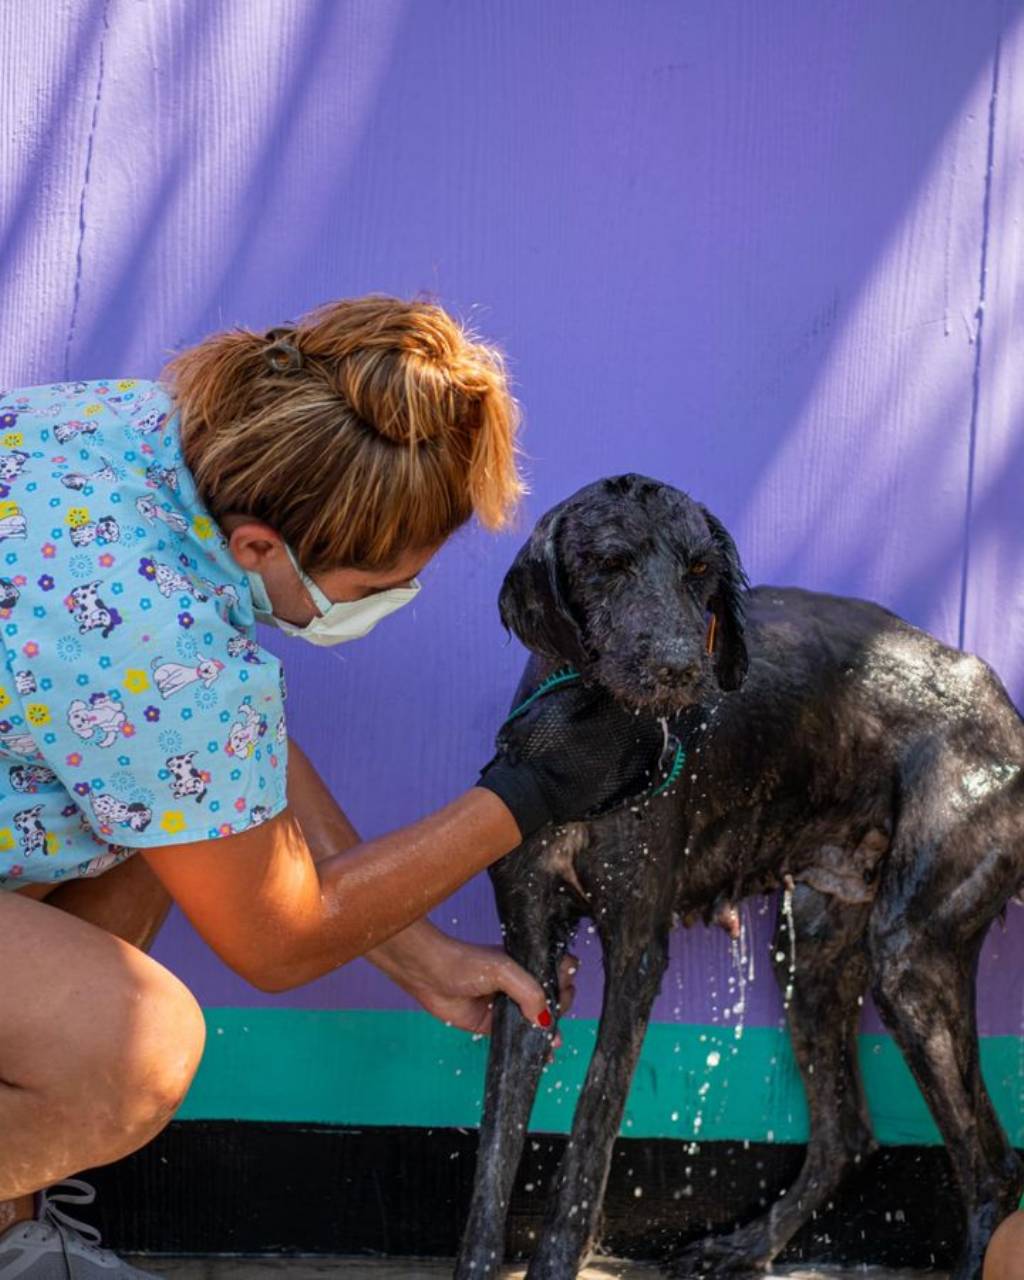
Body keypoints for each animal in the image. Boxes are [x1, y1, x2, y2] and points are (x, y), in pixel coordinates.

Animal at [455, 476, 1024, 1280]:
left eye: (701, 572)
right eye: (608, 565)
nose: (679, 671)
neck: (592, 732)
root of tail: (1001, 704)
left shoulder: (637, 954)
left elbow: (590, 1136)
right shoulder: (527, 954)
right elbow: (495, 1155)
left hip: (912, 954)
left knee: (992, 1168)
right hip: (811, 951)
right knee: (848, 1136)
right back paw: (747, 1245)